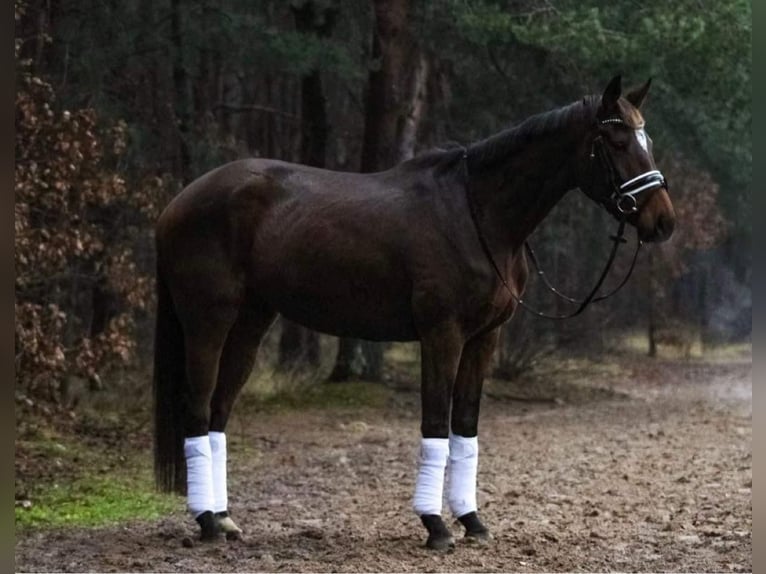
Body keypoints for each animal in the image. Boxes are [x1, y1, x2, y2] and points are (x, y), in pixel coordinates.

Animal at [154, 74, 680, 552]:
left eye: (649, 140)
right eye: (617, 141)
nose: (663, 221)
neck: (478, 215)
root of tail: (179, 202)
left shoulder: (484, 337)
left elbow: (464, 425)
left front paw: (472, 521)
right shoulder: (442, 333)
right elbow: (435, 424)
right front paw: (436, 526)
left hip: (252, 322)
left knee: (218, 412)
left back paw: (223, 519)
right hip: (207, 322)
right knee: (197, 408)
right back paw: (206, 521)